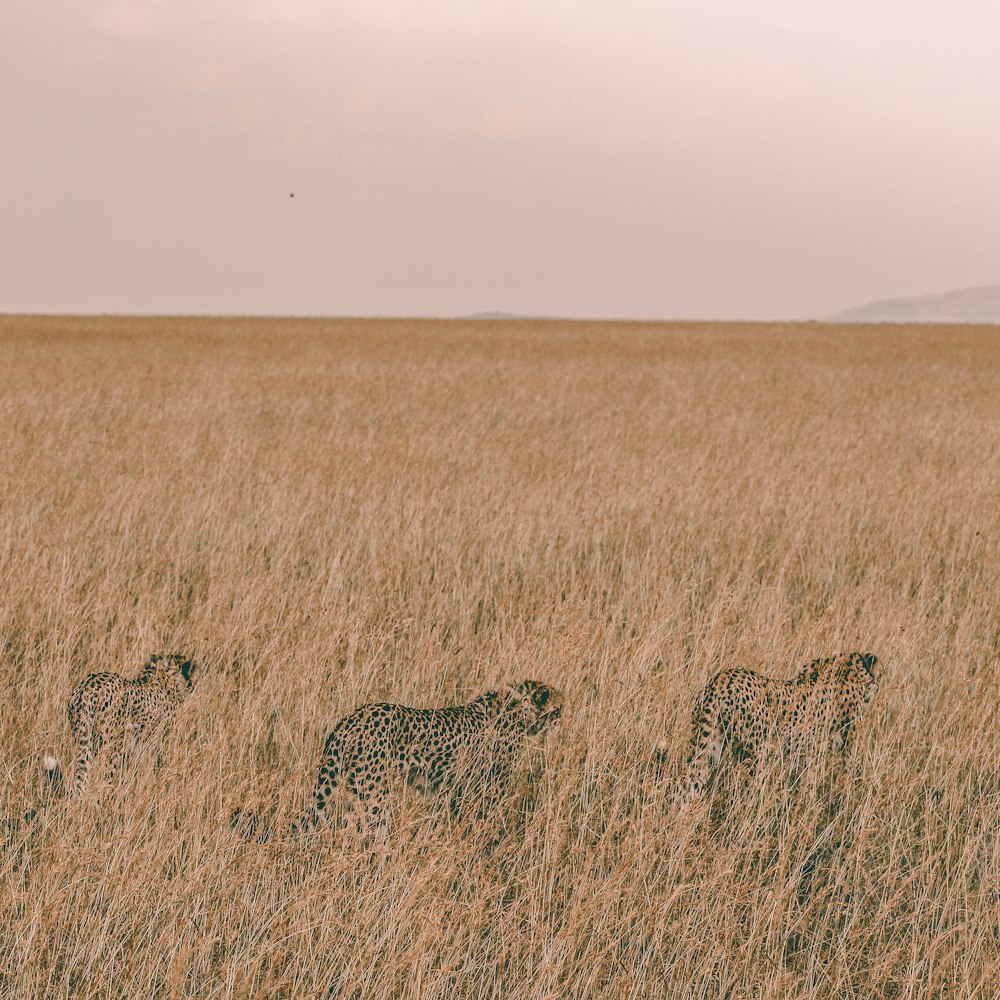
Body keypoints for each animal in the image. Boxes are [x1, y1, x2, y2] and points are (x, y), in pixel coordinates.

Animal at [45, 652, 197, 792]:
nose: (192, 685)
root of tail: (86, 688)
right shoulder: (159, 739)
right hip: (111, 746)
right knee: (105, 777)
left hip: (84, 739)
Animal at [232, 680, 564, 844]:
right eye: (558, 708)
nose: (563, 719)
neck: (519, 709)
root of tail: (351, 718)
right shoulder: (488, 791)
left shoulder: (459, 792)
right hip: (375, 798)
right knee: (366, 834)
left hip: (356, 793)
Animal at [676, 648, 880, 804]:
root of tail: (723, 678)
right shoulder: (836, 746)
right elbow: (841, 774)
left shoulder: (809, 750)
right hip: (755, 754)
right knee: (750, 792)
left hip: (709, 744)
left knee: (686, 783)